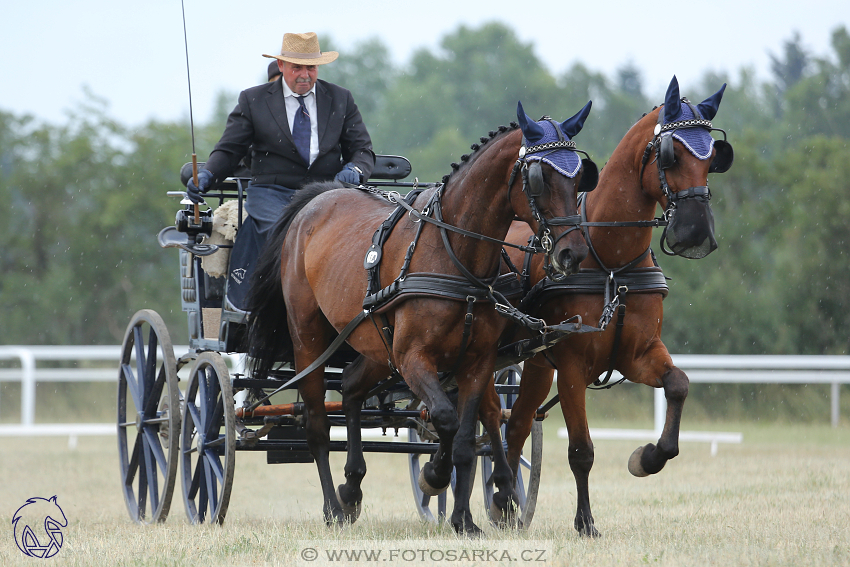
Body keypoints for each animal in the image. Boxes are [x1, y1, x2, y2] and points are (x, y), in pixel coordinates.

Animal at [242, 103, 592, 536]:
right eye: (539, 178)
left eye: (580, 176)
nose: (572, 253)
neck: (454, 253)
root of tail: (317, 198)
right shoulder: (412, 358)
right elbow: (444, 418)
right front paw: (435, 475)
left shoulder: (477, 362)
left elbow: (465, 436)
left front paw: (463, 519)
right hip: (310, 341)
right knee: (317, 426)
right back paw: (333, 508)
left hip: (374, 345)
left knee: (352, 387)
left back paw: (352, 488)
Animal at [494, 75, 732, 536]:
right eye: (670, 154)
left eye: (714, 156)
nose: (696, 233)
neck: (610, 264)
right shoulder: (571, 366)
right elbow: (581, 450)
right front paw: (586, 522)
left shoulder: (637, 354)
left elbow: (679, 385)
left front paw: (648, 458)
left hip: (535, 363)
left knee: (514, 427)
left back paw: (506, 508)